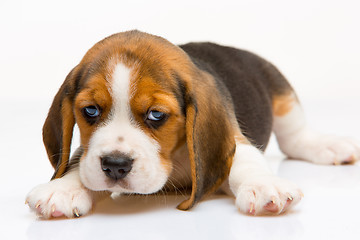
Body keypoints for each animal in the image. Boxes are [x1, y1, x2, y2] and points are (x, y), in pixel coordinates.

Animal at [26, 29, 360, 218]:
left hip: (281, 90)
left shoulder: (234, 139)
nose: (115, 166)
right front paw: (64, 188)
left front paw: (263, 185)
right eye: (91, 111)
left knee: (295, 138)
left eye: (156, 115)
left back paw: (329, 145)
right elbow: (78, 161)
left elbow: (245, 160)